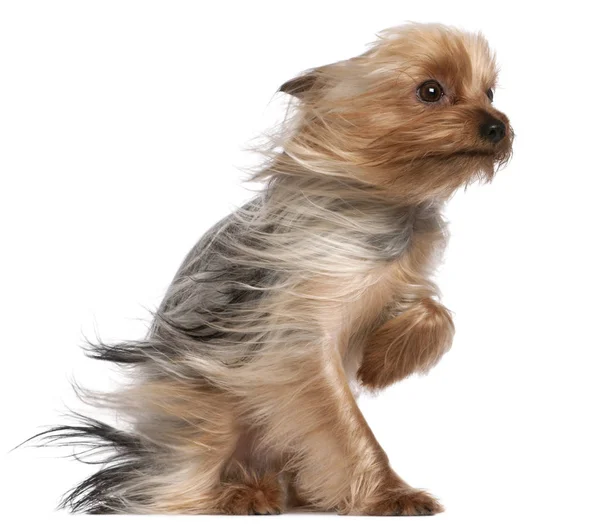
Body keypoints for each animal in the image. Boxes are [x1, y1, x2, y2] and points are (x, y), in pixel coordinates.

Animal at [32, 22, 510, 512]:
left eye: (490, 92)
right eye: (430, 91)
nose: (498, 126)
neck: (385, 205)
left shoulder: (399, 281)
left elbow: (434, 312)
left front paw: (380, 364)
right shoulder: (300, 342)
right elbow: (345, 425)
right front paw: (389, 495)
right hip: (207, 405)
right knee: (173, 486)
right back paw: (235, 494)